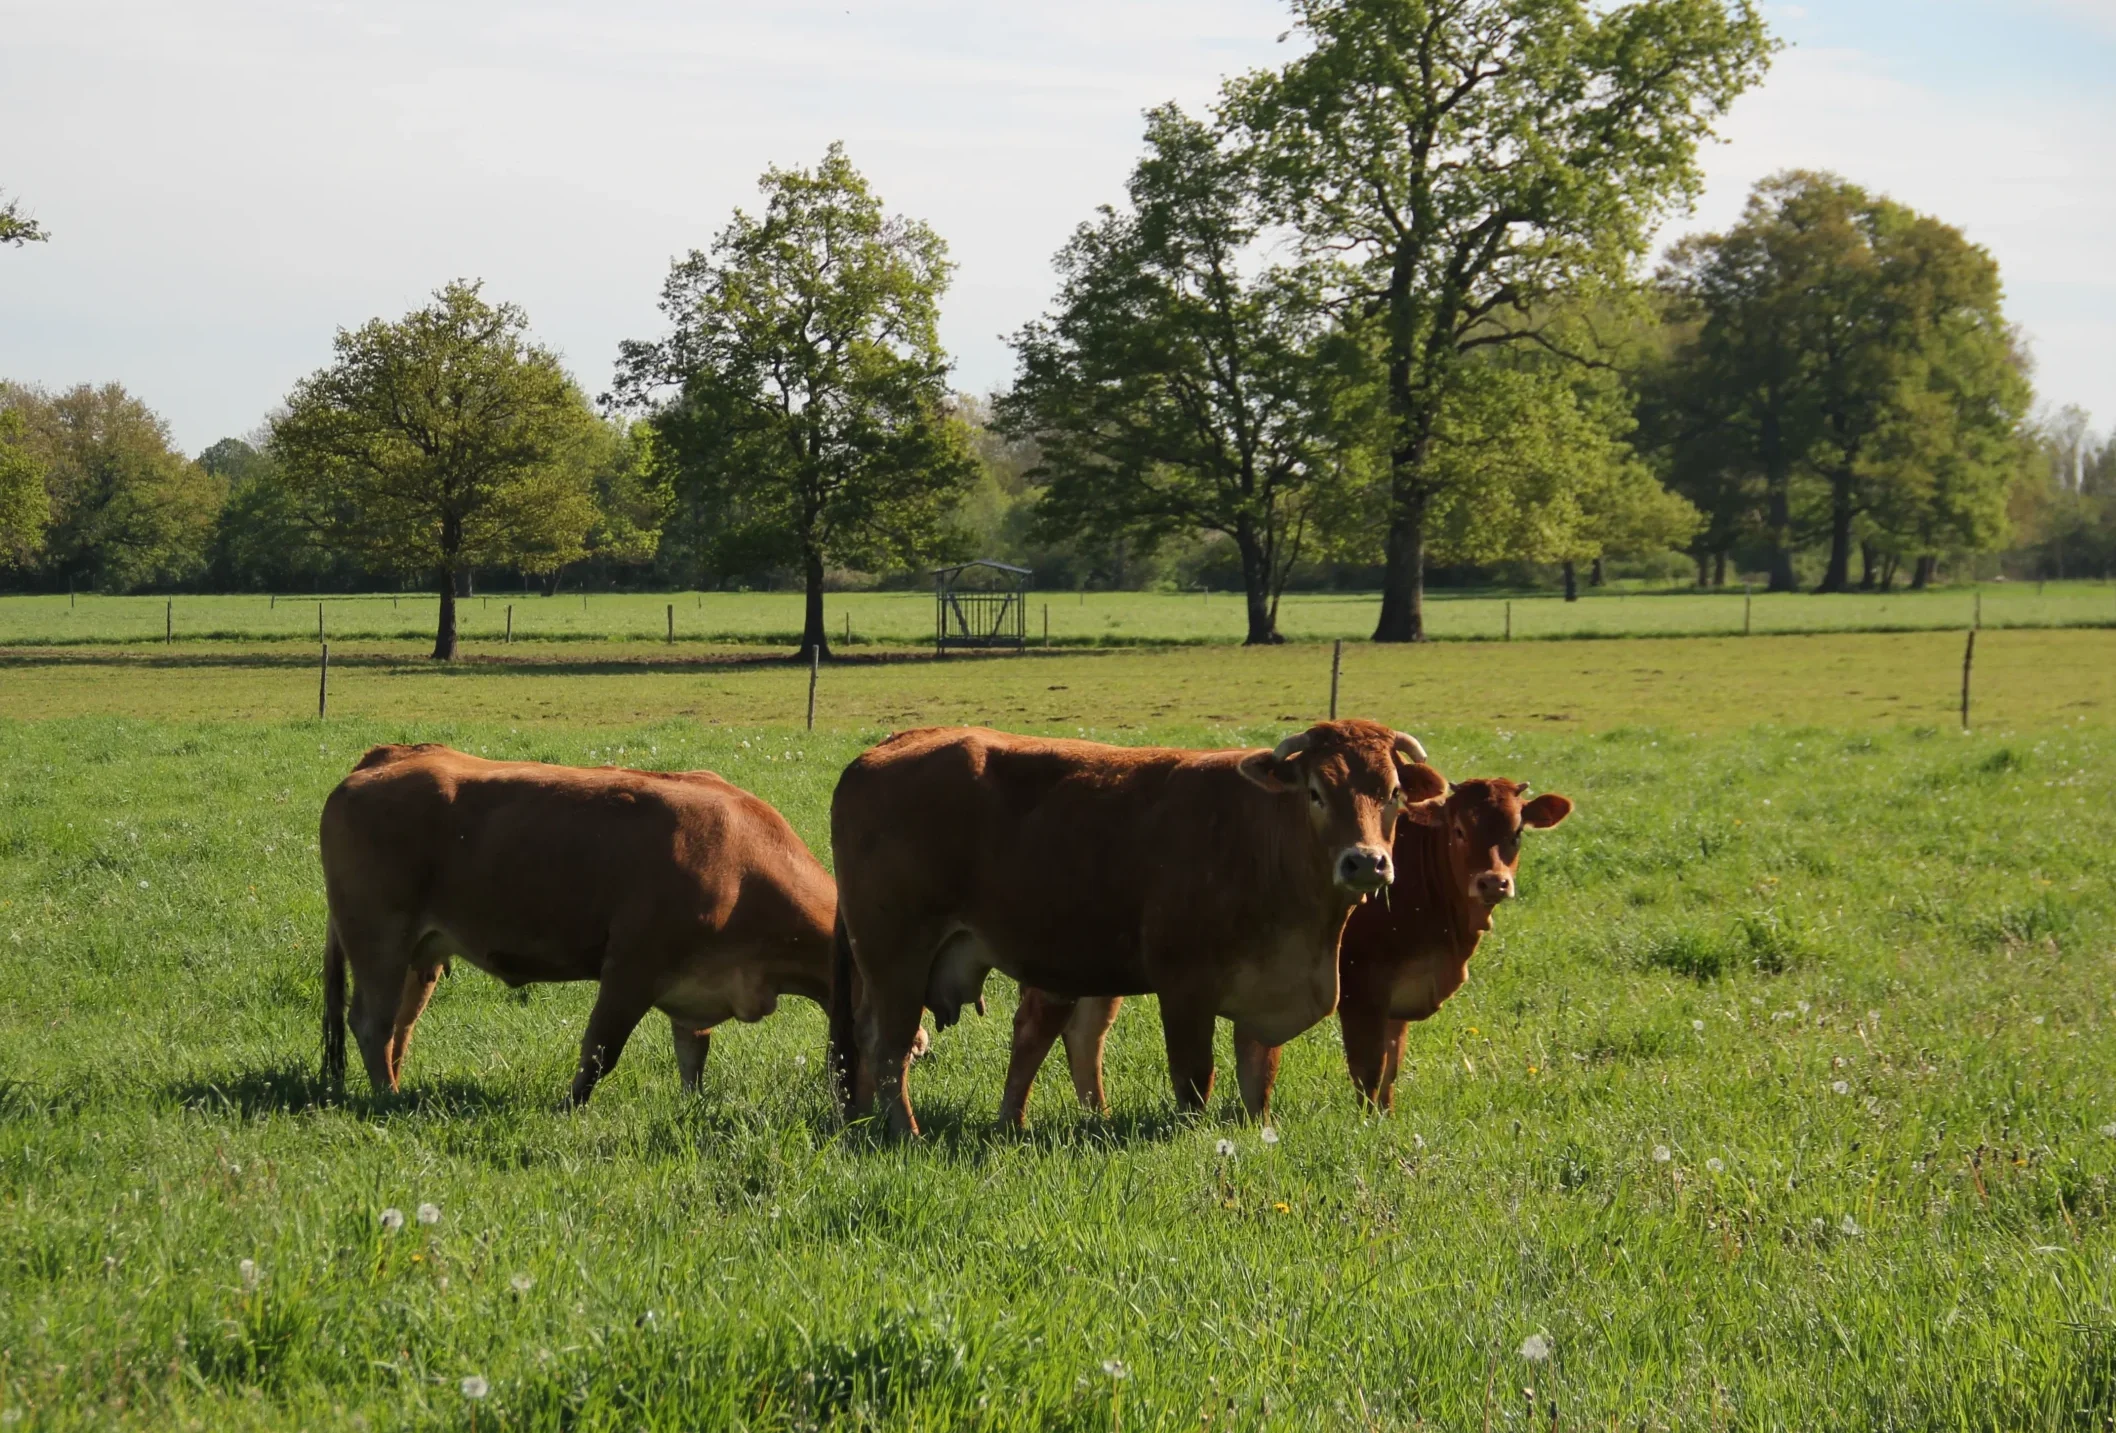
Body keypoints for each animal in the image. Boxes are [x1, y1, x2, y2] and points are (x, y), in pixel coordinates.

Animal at [317, 745, 837, 1100]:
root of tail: (386, 757)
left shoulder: (698, 988)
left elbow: (693, 1060)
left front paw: (693, 1108)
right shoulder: (631, 968)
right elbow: (600, 1053)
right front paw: (567, 1108)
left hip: (419, 952)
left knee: (400, 1027)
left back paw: (398, 1088)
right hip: (378, 938)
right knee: (373, 1022)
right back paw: (388, 1099)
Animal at [821, 719, 1438, 1134]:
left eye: (1393, 793)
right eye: (1316, 792)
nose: (1365, 862)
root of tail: (885, 748)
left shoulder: (1265, 992)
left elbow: (1257, 1078)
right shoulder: (1184, 987)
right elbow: (1194, 1078)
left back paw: (864, 1123)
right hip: (896, 956)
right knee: (889, 1046)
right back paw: (906, 1133)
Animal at [994, 778, 1574, 1126]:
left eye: (1517, 832)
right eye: (1457, 828)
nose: (1493, 882)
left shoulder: (1399, 994)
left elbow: (1392, 1066)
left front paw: (1385, 1118)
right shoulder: (1363, 987)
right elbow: (1368, 1067)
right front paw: (1366, 1124)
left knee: (1085, 1034)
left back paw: (1099, 1115)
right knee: (1038, 1029)